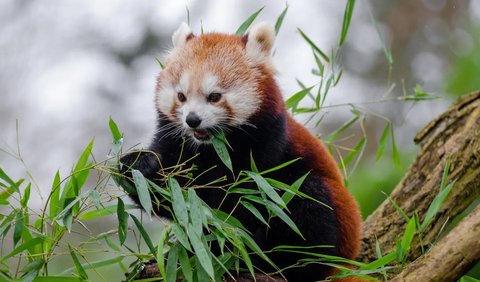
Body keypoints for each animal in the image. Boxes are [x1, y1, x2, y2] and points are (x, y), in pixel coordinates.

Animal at [122, 22, 362, 282]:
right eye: (181, 96)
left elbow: (244, 206)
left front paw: (225, 248)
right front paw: (138, 166)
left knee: (308, 199)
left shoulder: (266, 148)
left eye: (214, 96)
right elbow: (171, 199)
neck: (213, 149)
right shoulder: (175, 142)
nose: (192, 120)